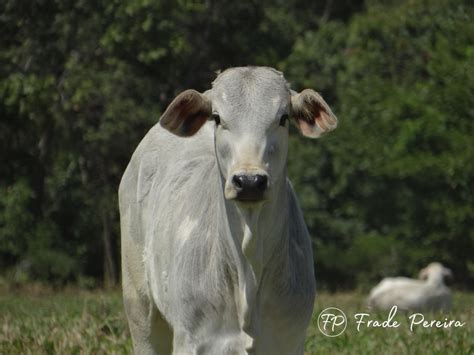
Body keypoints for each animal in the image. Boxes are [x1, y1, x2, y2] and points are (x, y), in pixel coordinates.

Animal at [120, 66, 338, 354]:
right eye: (217, 117)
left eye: (283, 118)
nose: (250, 181)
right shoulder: (190, 340)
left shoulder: (289, 341)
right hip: (139, 306)